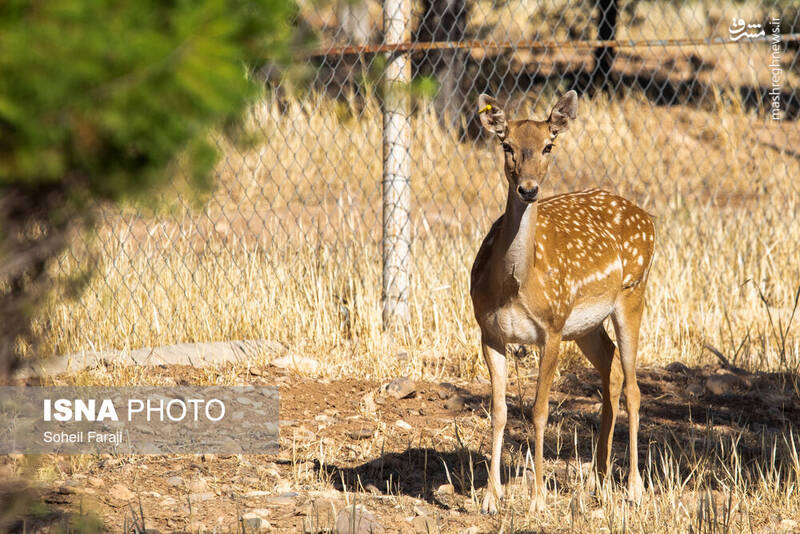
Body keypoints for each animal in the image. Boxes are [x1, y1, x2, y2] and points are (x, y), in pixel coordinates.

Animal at [472, 91, 652, 516]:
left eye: (547, 146)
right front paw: (490, 497)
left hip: (632, 292)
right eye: (506, 145)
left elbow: (540, 411)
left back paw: (634, 489)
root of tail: (650, 219)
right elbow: (499, 411)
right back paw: (598, 480)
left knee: (634, 386)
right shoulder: (488, 332)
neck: (513, 284)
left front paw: (537, 499)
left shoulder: (551, 328)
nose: (529, 189)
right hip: (585, 323)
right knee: (612, 369)